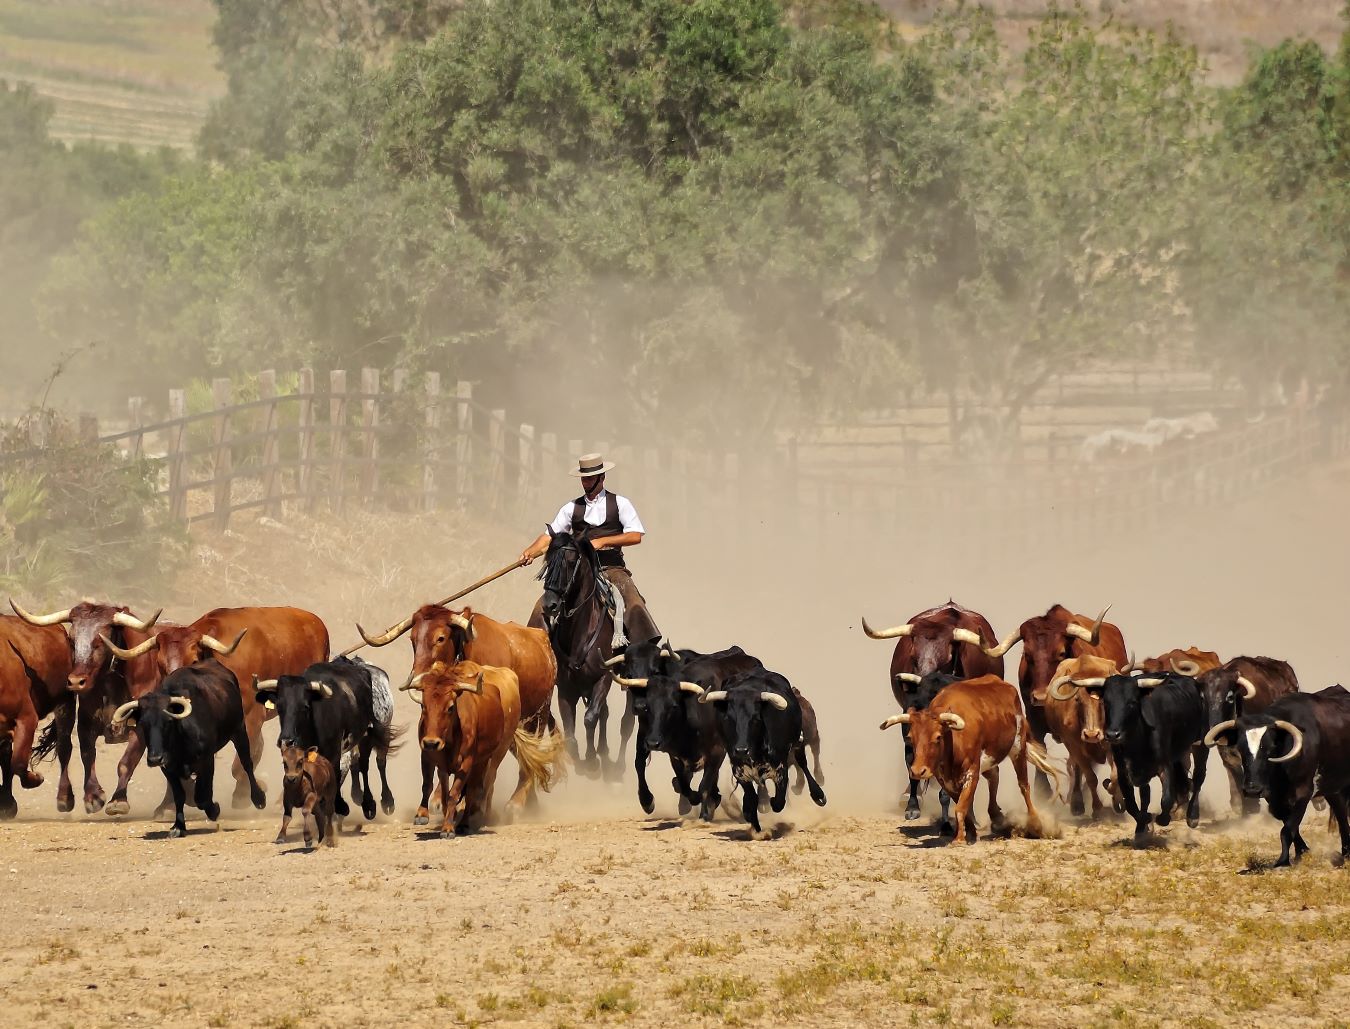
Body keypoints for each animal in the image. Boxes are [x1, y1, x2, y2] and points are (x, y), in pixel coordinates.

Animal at [102, 602, 329, 810]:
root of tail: (314, 621)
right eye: (160, 664)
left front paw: (246, 795)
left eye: (193, 660)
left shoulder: (251, 718)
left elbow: (241, 763)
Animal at [405, 656, 564, 831]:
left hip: (500, 750)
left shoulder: (468, 760)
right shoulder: (428, 754)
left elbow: (464, 788)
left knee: (489, 781)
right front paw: (423, 814)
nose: (432, 742)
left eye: (450, 707)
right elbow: (430, 783)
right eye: (423, 705)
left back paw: (485, 814)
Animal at [534, 532, 634, 772]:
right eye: (548, 560)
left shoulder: (603, 677)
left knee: (625, 722)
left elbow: (591, 717)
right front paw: (581, 757)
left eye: (571, 562)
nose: (550, 605)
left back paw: (616, 766)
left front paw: (590, 760)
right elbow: (570, 732)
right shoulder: (565, 687)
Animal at [880, 672, 1058, 842]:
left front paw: (959, 837)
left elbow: (961, 806)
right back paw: (997, 817)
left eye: (938, 737)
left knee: (1024, 785)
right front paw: (970, 832)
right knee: (994, 777)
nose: (918, 771)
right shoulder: (945, 779)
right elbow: (961, 804)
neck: (954, 740)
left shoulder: (972, 771)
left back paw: (1035, 824)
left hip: (1017, 748)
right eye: (911, 737)